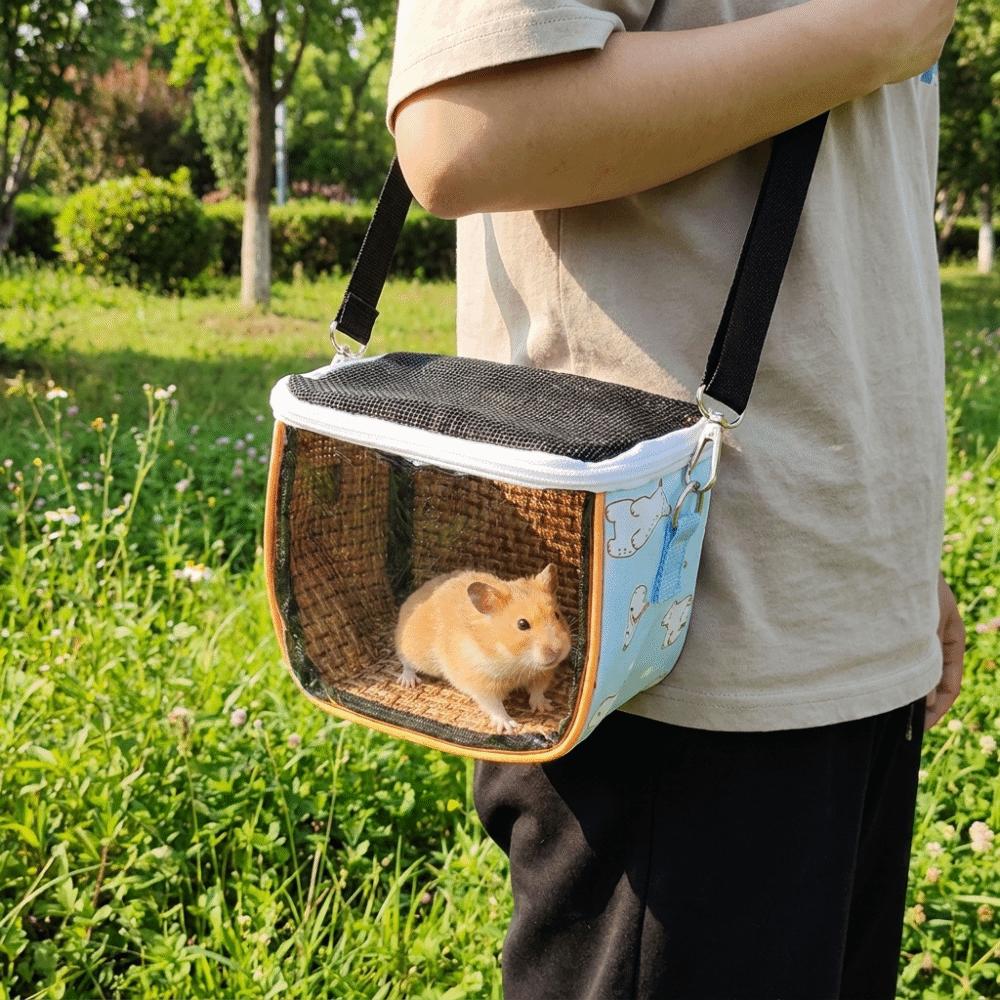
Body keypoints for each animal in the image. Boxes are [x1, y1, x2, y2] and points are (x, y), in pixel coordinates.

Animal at [394, 563, 572, 733]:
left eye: (557, 615)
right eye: (522, 624)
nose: (558, 651)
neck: (516, 661)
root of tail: (416, 593)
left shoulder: (542, 673)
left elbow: (537, 690)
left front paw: (545, 707)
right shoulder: (481, 683)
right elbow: (494, 706)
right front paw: (509, 727)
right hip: (413, 650)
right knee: (405, 661)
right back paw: (408, 682)